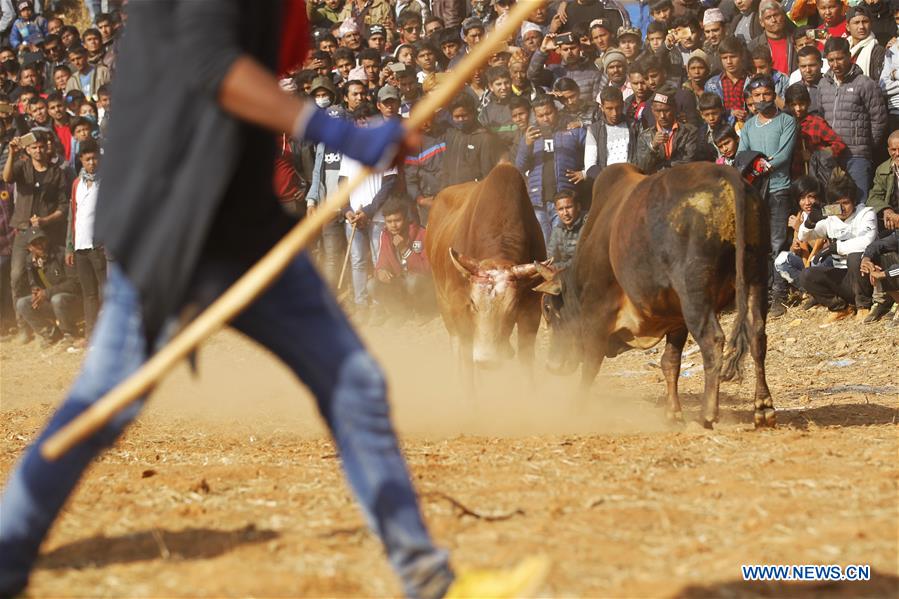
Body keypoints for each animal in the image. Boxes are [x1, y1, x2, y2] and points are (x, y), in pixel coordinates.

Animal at [428, 163, 548, 370]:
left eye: (512, 306)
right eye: (473, 303)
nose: (488, 359)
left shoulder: (532, 312)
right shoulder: (459, 309)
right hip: (442, 301)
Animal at [536, 162, 776, 428]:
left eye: (548, 309)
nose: (552, 365)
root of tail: (727, 176)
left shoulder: (596, 316)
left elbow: (591, 365)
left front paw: (577, 408)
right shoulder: (676, 319)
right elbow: (669, 362)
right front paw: (673, 412)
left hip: (695, 294)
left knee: (713, 341)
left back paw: (707, 413)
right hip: (755, 276)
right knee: (757, 335)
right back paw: (763, 407)